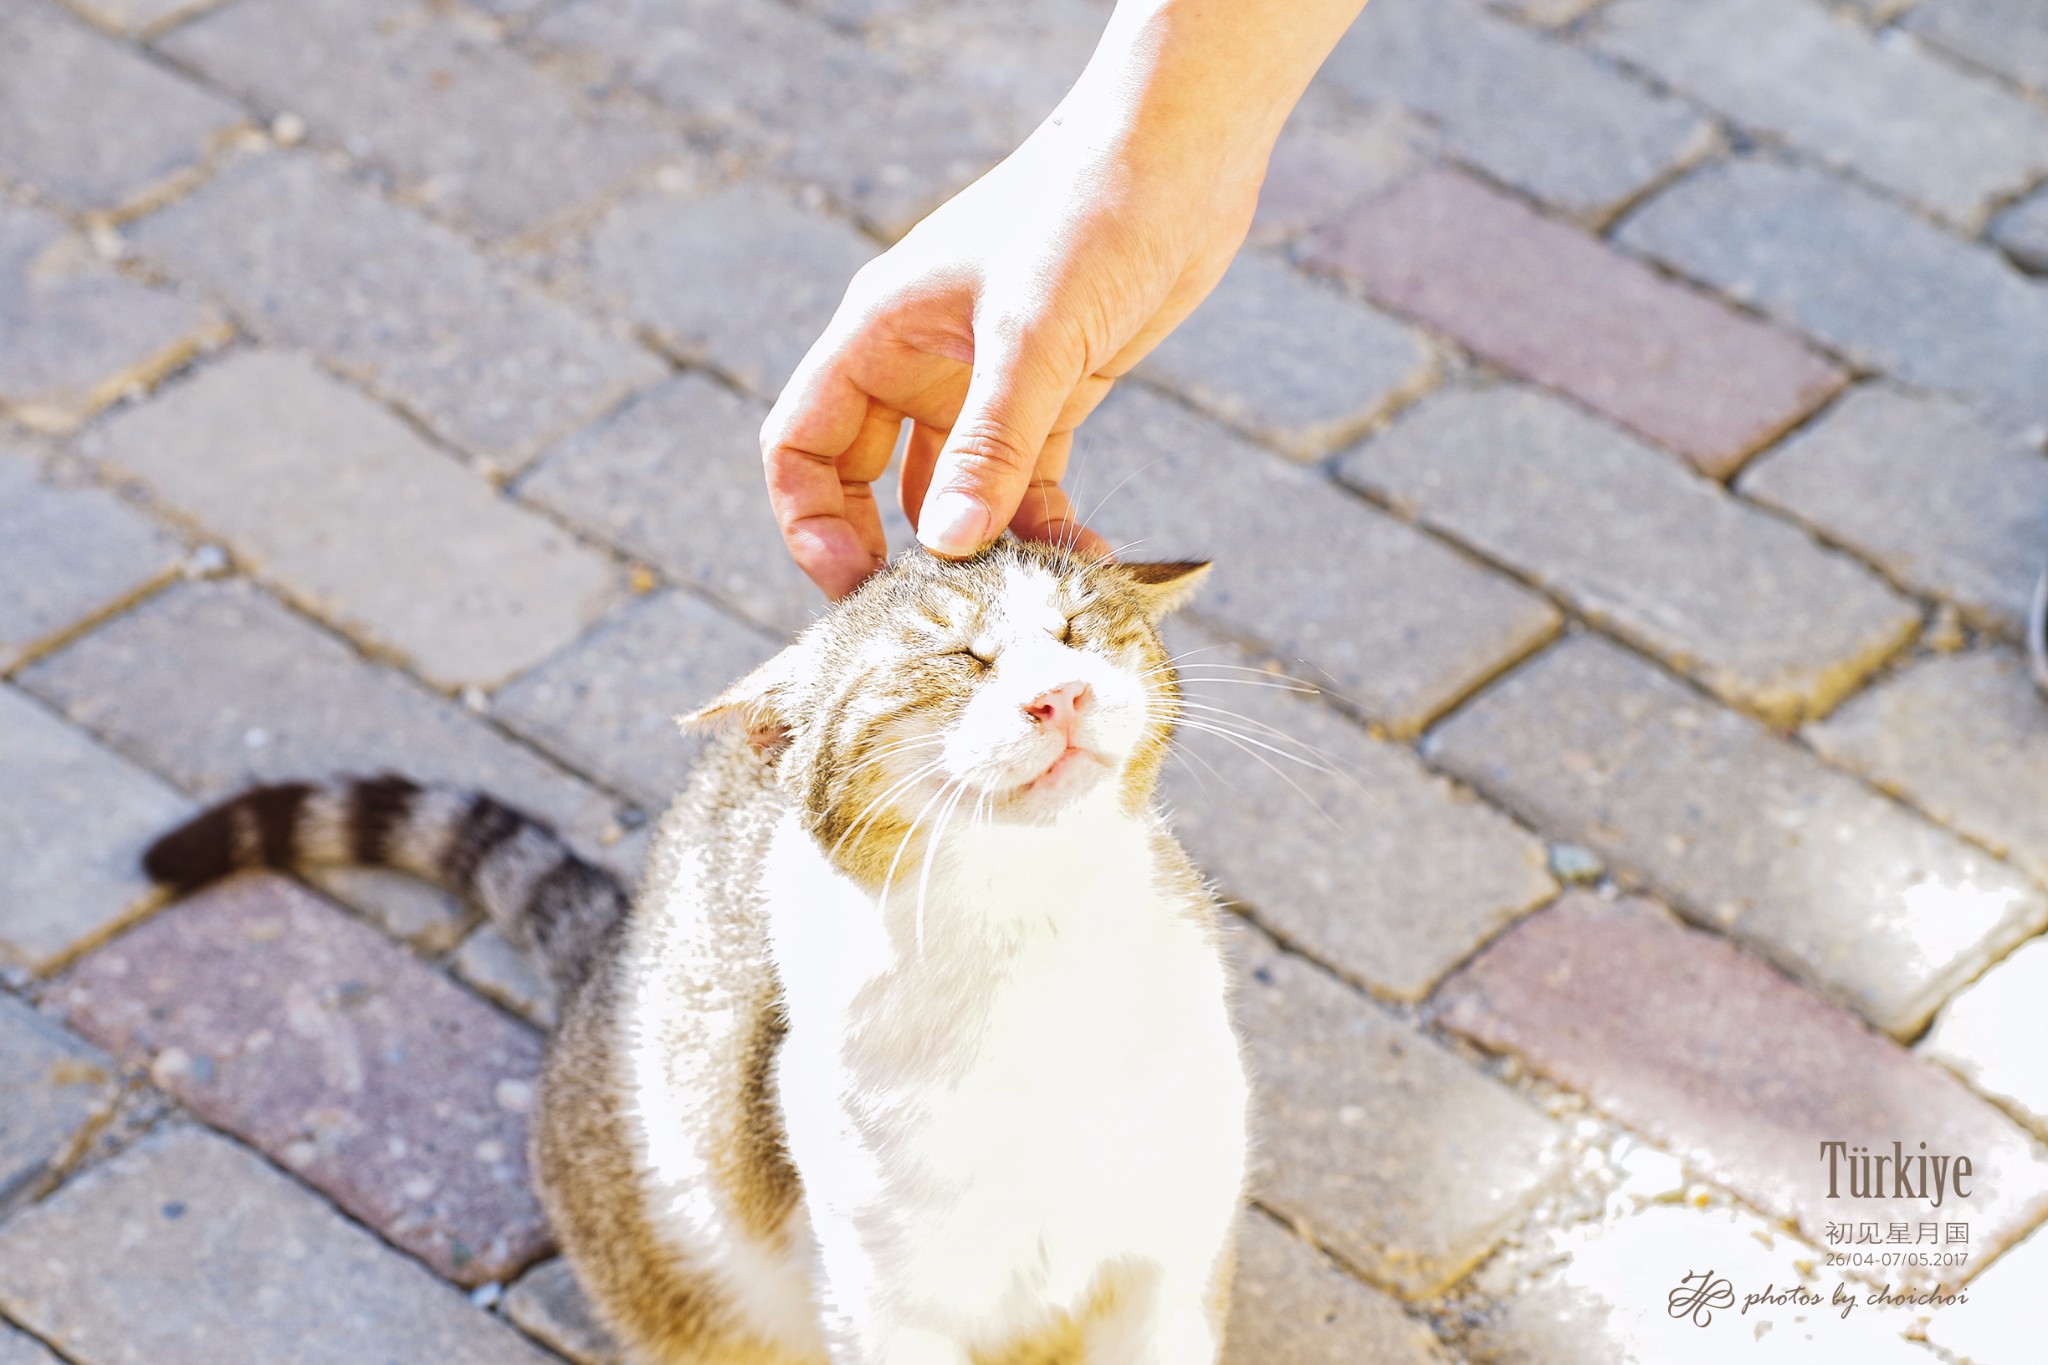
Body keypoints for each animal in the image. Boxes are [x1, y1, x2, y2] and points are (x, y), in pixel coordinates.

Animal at [144, 540, 1245, 1365]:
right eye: (955, 658)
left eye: (1075, 629)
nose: (1059, 694)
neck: (1040, 936)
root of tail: (613, 950)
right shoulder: (882, 1291)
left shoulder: (1176, 1249)